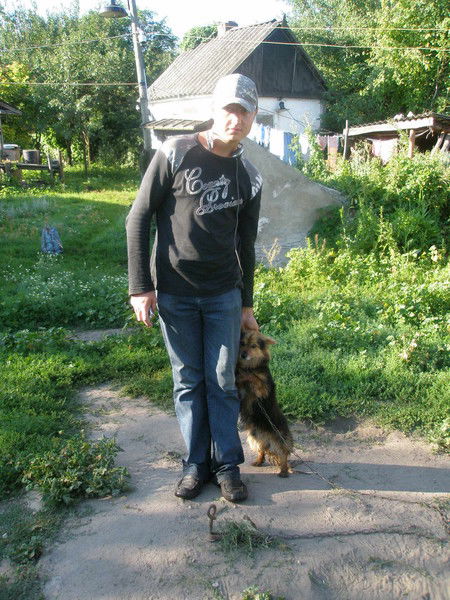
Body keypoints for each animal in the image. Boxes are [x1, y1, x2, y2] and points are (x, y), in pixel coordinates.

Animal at [236, 330, 293, 477]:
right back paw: (258, 461)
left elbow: (254, 377)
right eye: (242, 343)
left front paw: (244, 373)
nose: (243, 354)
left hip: (279, 439)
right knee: (262, 451)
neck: (251, 366)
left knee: (283, 454)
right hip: (254, 439)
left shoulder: (263, 389)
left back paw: (283, 471)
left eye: (253, 346)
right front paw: (238, 372)